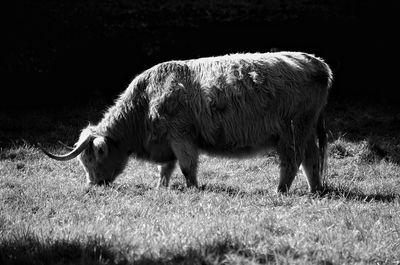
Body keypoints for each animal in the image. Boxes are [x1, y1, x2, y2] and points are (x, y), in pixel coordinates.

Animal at [38, 51, 332, 192]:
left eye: (90, 159)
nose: (92, 185)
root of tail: (316, 62)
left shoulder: (181, 136)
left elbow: (187, 166)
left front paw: (193, 189)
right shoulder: (166, 143)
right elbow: (165, 169)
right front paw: (161, 187)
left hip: (292, 131)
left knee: (292, 160)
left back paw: (279, 190)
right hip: (306, 130)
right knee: (311, 159)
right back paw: (315, 189)